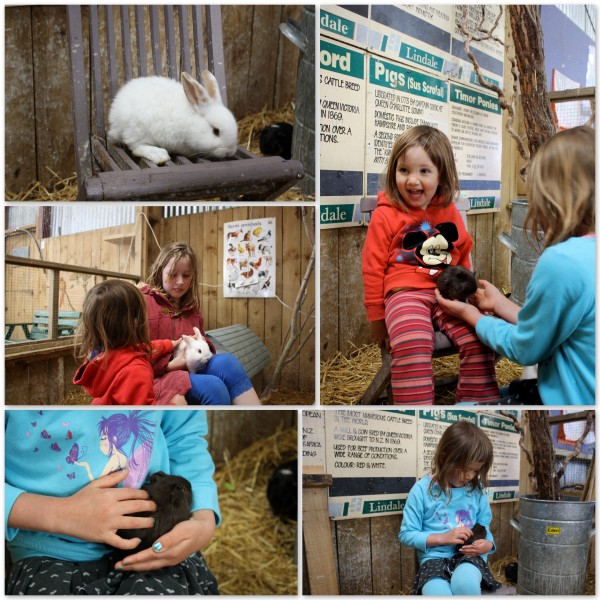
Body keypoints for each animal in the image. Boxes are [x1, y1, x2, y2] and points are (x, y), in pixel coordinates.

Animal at [106, 70, 238, 164]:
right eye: (216, 131)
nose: (230, 152)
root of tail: (114, 117)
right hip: (138, 129)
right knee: (135, 146)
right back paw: (159, 154)